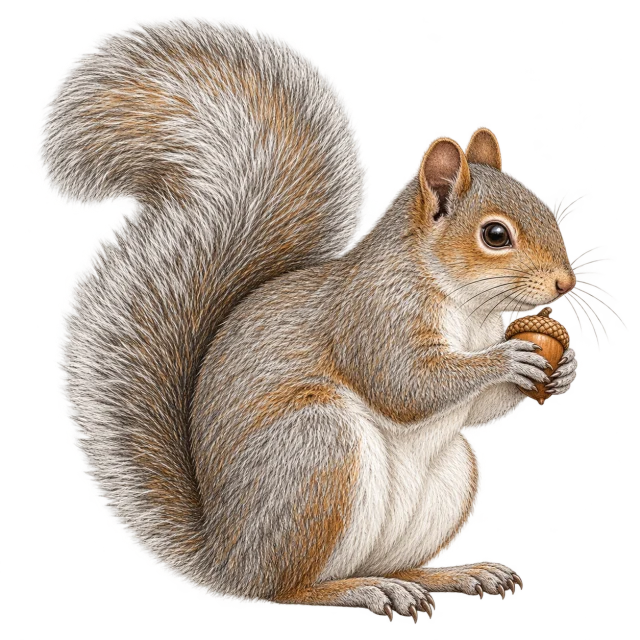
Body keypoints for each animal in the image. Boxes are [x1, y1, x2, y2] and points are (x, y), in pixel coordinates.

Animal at [40, 15, 588, 622]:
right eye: (495, 235)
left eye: (546, 211)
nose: (566, 284)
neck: (472, 308)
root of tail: (227, 559)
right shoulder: (374, 313)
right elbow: (405, 384)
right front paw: (506, 358)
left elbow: (479, 412)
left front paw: (564, 370)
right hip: (317, 454)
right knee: (288, 589)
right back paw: (366, 590)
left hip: (452, 477)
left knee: (391, 562)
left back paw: (454, 574)